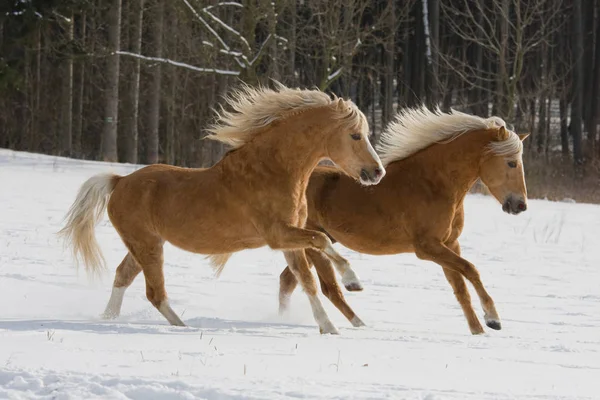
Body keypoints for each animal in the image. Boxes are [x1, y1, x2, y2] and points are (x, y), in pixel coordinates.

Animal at [57, 82, 384, 334]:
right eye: (355, 134)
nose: (377, 172)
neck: (272, 171)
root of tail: (120, 181)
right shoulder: (278, 235)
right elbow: (322, 240)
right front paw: (352, 281)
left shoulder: (290, 240)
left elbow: (308, 279)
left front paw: (329, 326)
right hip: (147, 245)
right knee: (155, 293)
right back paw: (183, 328)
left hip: (144, 244)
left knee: (123, 276)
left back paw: (108, 319)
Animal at [278, 105, 528, 334]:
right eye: (511, 162)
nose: (520, 205)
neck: (433, 184)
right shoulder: (427, 247)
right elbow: (471, 270)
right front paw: (493, 319)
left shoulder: (449, 244)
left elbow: (461, 289)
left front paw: (479, 331)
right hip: (313, 243)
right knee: (329, 288)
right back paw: (356, 323)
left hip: (316, 242)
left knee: (289, 280)